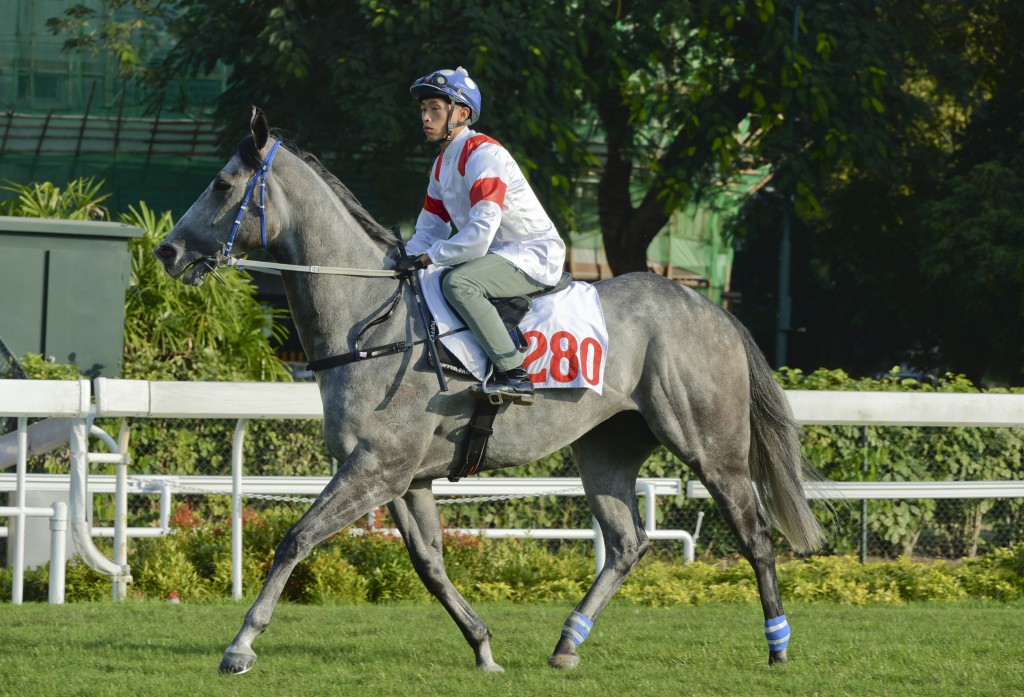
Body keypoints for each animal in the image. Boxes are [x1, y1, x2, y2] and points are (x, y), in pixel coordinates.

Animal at [157, 108, 823, 675]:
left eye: (221, 184)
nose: (167, 250)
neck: (374, 323)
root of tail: (711, 309)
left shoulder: (377, 467)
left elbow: (296, 538)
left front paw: (241, 645)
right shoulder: (405, 477)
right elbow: (428, 564)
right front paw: (482, 647)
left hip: (712, 447)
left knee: (754, 533)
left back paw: (779, 645)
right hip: (605, 448)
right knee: (626, 543)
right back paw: (567, 644)